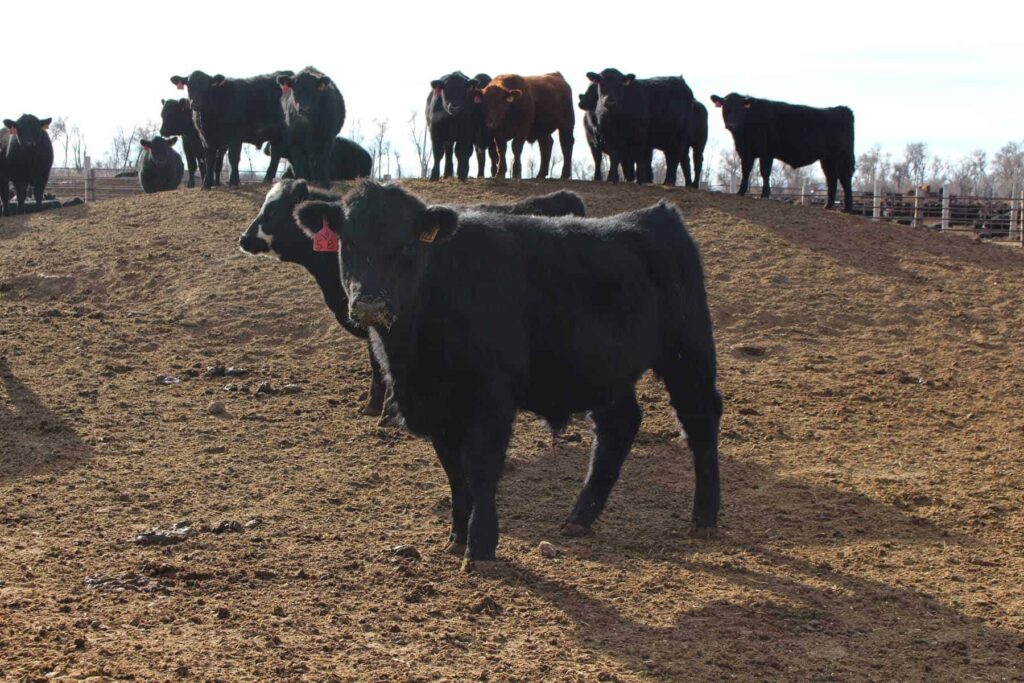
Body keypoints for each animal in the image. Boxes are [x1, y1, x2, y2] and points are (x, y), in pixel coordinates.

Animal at [292, 181, 724, 565]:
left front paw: (481, 546)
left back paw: (705, 518)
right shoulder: (440, 409)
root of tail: (657, 214)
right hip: (606, 371)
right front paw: (457, 536)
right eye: (348, 243)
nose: (370, 303)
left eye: (407, 244)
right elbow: (455, 473)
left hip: (688, 351)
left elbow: (481, 468)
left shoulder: (491, 398)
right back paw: (580, 517)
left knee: (700, 417)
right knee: (618, 425)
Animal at [712, 92, 856, 210]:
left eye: (739, 109)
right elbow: (746, 171)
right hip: (827, 159)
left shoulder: (766, 152)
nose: (731, 125)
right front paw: (740, 192)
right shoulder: (746, 152)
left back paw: (847, 208)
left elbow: (765, 172)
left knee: (845, 178)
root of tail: (840, 109)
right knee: (832, 178)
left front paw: (764, 194)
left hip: (842, 157)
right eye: (725, 108)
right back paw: (827, 206)